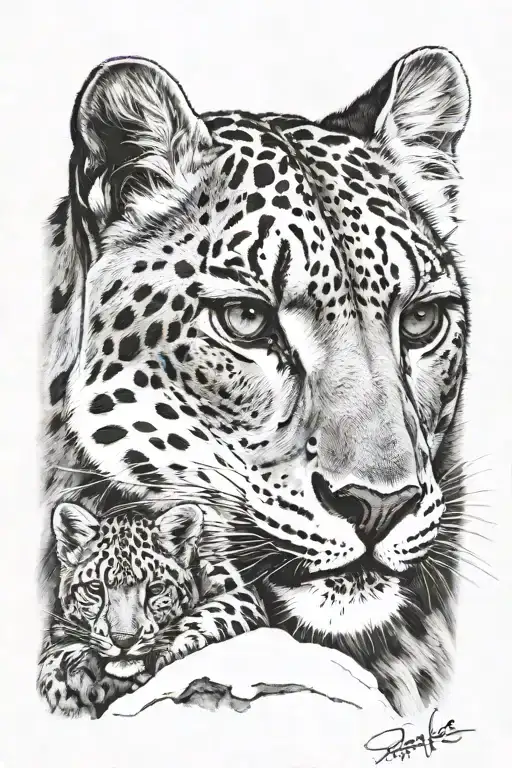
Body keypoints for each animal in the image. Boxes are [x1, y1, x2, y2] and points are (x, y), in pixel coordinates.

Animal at [38, 500, 267, 718]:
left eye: (156, 589)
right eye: (95, 588)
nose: (124, 641)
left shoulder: (243, 592)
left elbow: (217, 609)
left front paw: (176, 645)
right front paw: (61, 678)